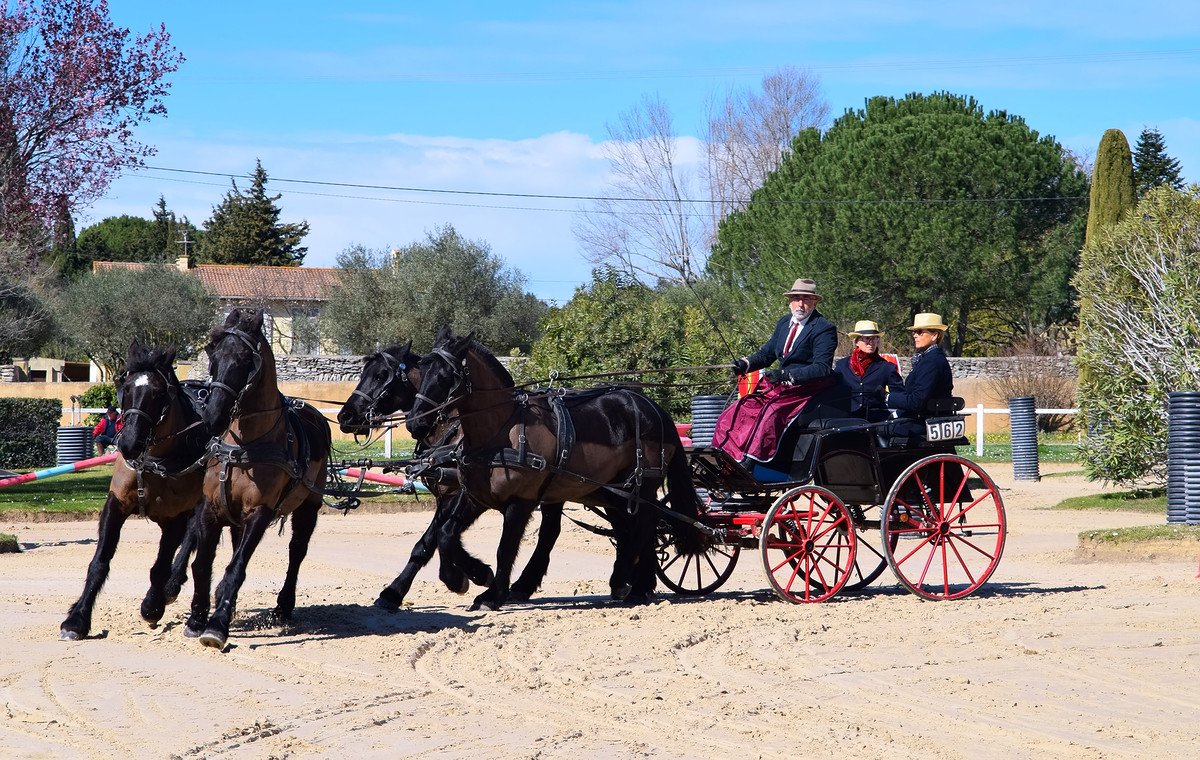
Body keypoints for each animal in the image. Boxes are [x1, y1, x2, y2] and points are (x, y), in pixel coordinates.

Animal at [60, 340, 210, 640]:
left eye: (159, 393)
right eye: (126, 388)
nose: (128, 443)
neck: (153, 461)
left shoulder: (174, 519)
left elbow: (160, 567)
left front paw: (152, 607)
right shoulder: (116, 505)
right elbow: (99, 562)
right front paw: (77, 618)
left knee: (191, 538)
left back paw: (170, 587)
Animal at [184, 308, 332, 649]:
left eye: (243, 359)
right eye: (212, 354)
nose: (213, 416)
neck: (244, 447)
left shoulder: (260, 513)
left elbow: (236, 569)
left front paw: (217, 626)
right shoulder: (212, 508)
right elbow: (202, 565)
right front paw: (197, 618)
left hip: (308, 506)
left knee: (296, 552)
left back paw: (284, 605)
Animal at [336, 341, 563, 608]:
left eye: (381, 375)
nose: (345, 416)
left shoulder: (459, 493)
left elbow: (441, 537)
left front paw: (469, 575)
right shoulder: (446, 496)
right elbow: (430, 541)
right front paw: (394, 591)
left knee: (549, 532)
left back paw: (522, 583)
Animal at [406, 327, 710, 610]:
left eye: (445, 376)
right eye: (421, 372)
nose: (414, 423)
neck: (502, 431)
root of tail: (655, 410)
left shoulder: (520, 502)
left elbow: (505, 549)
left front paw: (492, 594)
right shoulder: (475, 496)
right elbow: (446, 534)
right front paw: (470, 577)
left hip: (641, 486)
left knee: (644, 525)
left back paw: (624, 580)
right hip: (613, 491)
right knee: (633, 528)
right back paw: (638, 586)